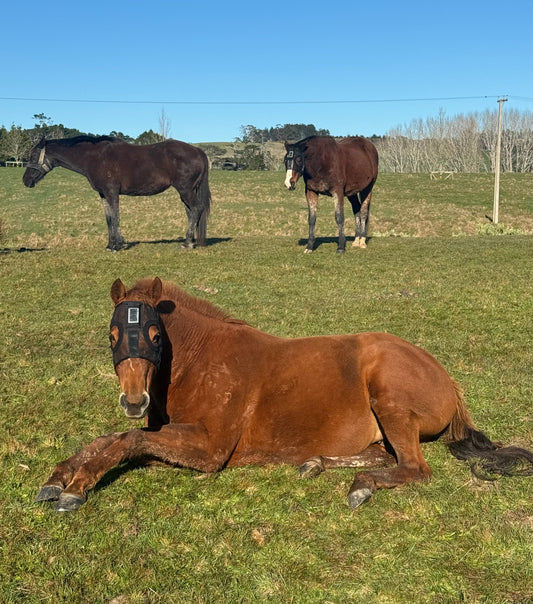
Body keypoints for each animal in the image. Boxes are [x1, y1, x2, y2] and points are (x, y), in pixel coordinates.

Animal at [22, 136, 210, 250]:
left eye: (33, 155)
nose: (25, 181)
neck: (96, 157)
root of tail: (198, 151)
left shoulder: (112, 192)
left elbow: (116, 217)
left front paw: (118, 245)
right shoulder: (103, 194)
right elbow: (109, 219)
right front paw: (110, 244)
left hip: (185, 189)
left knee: (196, 209)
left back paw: (187, 243)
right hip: (186, 191)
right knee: (191, 212)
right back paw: (190, 240)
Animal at [35, 276, 528, 512]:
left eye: (155, 334)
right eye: (113, 335)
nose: (134, 401)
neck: (201, 359)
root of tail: (450, 382)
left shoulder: (211, 449)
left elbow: (128, 439)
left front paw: (75, 488)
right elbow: (115, 439)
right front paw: (59, 477)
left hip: (390, 401)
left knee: (414, 468)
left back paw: (361, 487)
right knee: (380, 454)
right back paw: (316, 464)